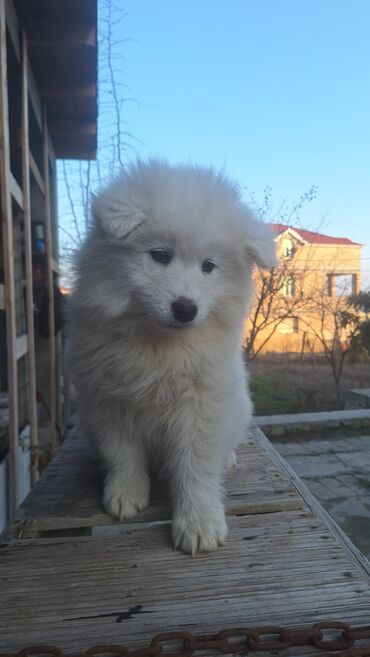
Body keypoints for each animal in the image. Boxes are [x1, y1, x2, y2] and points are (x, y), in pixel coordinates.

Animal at [69, 159, 276, 552]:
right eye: (160, 256)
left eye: (208, 266)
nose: (185, 308)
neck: (160, 343)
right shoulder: (108, 399)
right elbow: (122, 453)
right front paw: (126, 494)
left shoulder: (201, 406)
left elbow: (196, 466)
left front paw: (199, 524)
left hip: (239, 408)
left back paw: (227, 458)